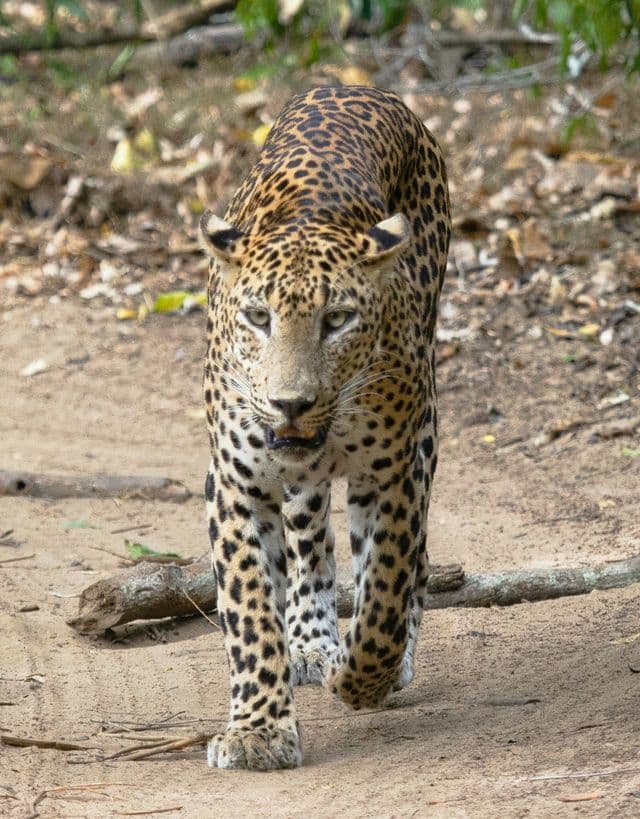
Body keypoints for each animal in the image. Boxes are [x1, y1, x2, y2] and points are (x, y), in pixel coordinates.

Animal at [199, 85, 450, 770]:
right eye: (258, 317)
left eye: (337, 320)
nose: (290, 403)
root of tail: (351, 85)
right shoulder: (235, 485)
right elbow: (250, 608)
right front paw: (258, 731)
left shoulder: (395, 472)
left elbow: (386, 586)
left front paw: (365, 677)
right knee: (310, 535)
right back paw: (311, 640)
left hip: (424, 427)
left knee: (404, 563)